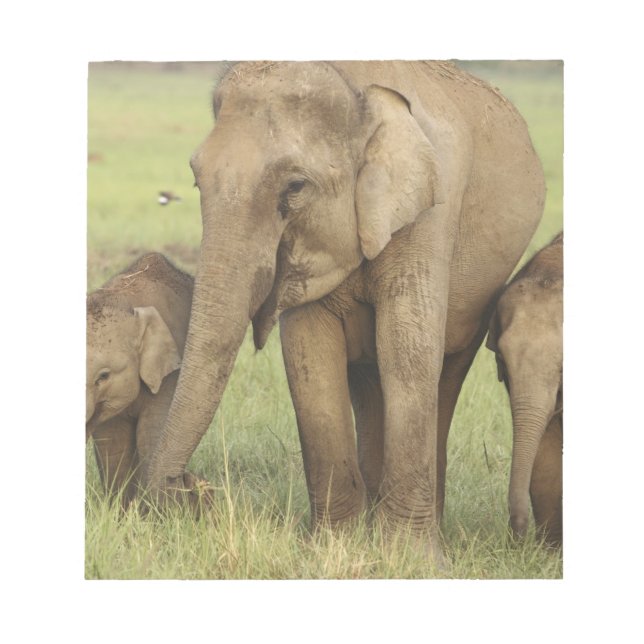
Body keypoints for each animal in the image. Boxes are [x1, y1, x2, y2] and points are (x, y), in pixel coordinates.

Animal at [143, 61, 545, 562]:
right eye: (197, 180)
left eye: (295, 186)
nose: (191, 488)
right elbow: (309, 359)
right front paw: (331, 547)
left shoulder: (432, 210)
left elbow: (408, 351)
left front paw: (410, 560)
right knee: (368, 382)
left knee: (444, 372)